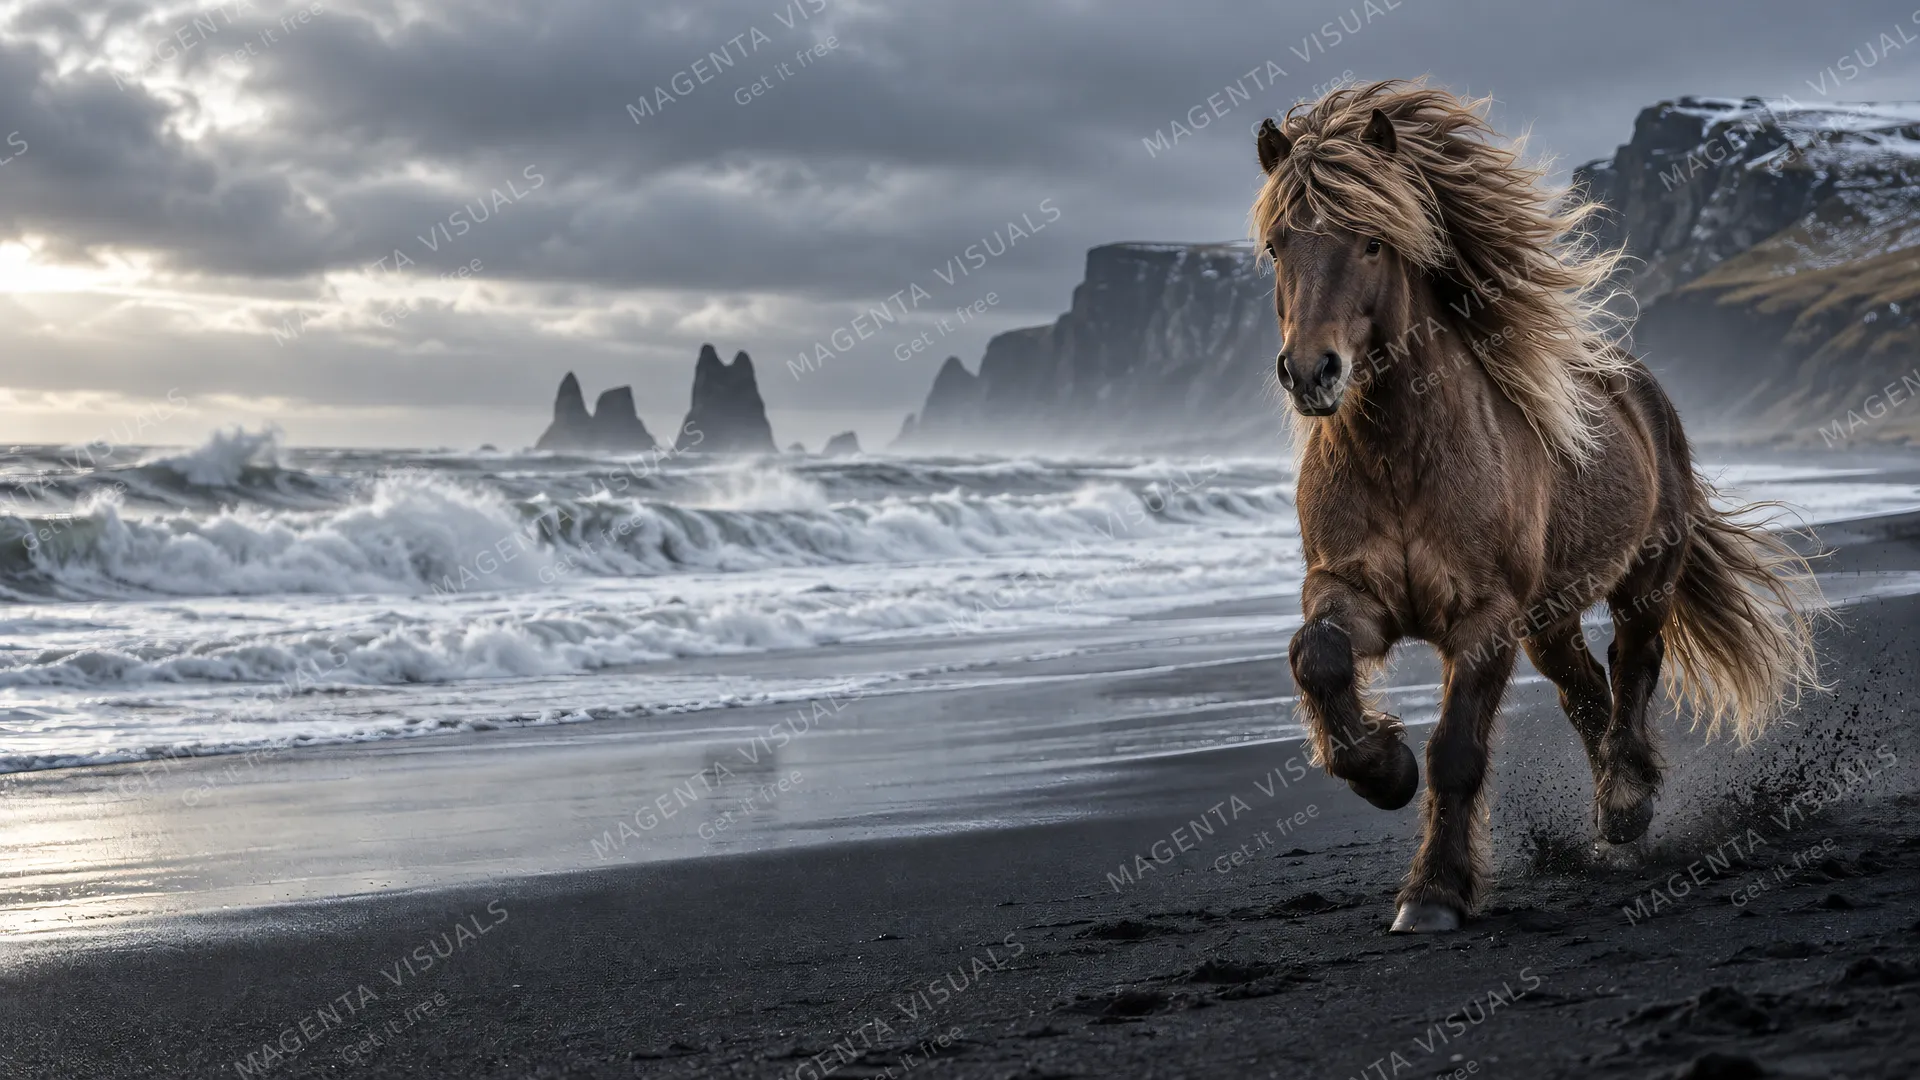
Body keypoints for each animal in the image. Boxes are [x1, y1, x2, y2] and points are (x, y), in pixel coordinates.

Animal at [1248, 80, 1823, 933]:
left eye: (1373, 242)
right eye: (1278, 245)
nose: (1312, 372)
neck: (1402, 457)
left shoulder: (1485, 617)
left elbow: (1458, 752)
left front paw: (1433, 894)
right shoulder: (1349, 590)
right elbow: (1315, 658)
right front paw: (1383, 767)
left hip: (1643, 578)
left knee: (1633, 664)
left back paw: (1625, 805)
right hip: (1548, 614)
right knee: (1583, 689)